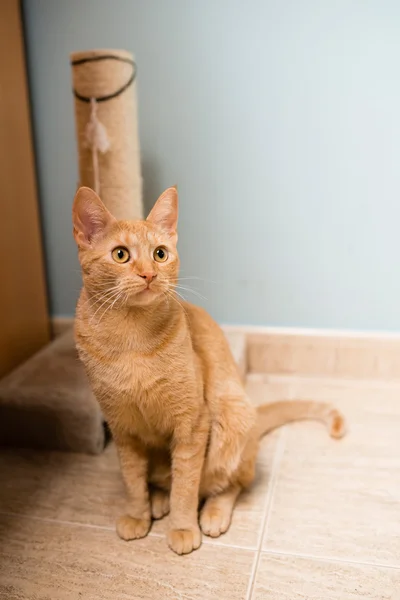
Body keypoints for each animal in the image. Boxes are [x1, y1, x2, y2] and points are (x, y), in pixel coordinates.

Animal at [72, 185, 346, 556]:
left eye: (160, 254)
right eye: (120, 255)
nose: (149, 274)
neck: (131, 340)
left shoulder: (192, 424)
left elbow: (186, 487)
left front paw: (183, 527)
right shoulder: (122, 427)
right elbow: (132, 479)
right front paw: (137, 514)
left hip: (231, 418)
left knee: (228, 484)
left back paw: (212, 513)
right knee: (162, 480)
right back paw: (157, 500)